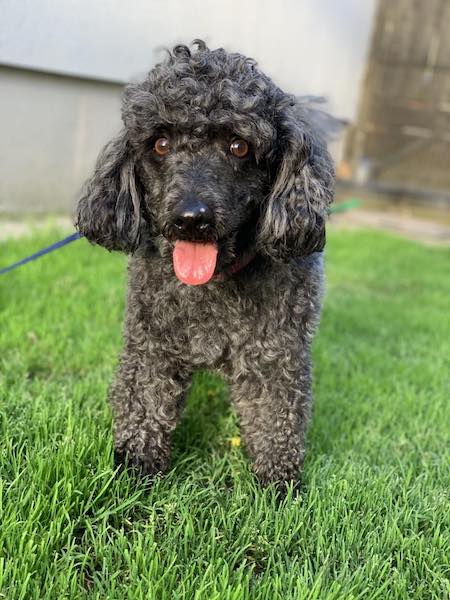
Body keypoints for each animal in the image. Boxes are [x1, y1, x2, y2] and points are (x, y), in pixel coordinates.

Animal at [75, 41, 334, 487]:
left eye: (239, 146)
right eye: (160, 143)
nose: (191, 219)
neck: (213, 284)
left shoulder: (276, 354)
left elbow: (275, 420)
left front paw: (279, 488)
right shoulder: (151, 347)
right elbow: (143, 405)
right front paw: (134, 473)